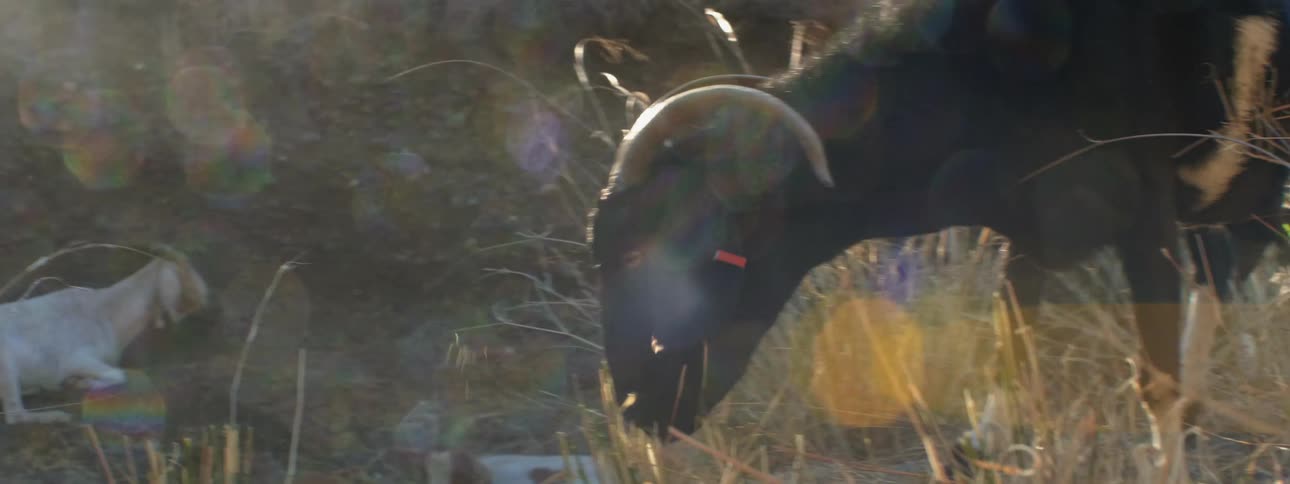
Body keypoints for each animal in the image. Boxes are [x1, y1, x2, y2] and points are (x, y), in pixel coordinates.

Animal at [0, 244, 208, 424]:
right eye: (183, 271)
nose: (204, 298)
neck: (105, 312)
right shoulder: (76, 359)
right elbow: (119, 375)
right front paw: (77, 383)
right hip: (7, 365)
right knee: (15, 415)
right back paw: (56, 414)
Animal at [585, 0, 1289, 437]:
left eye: (644, 250)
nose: (638, 408)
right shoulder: (1029, 225)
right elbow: (1011, 362)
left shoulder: (1146, 212)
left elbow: (1157, 385)